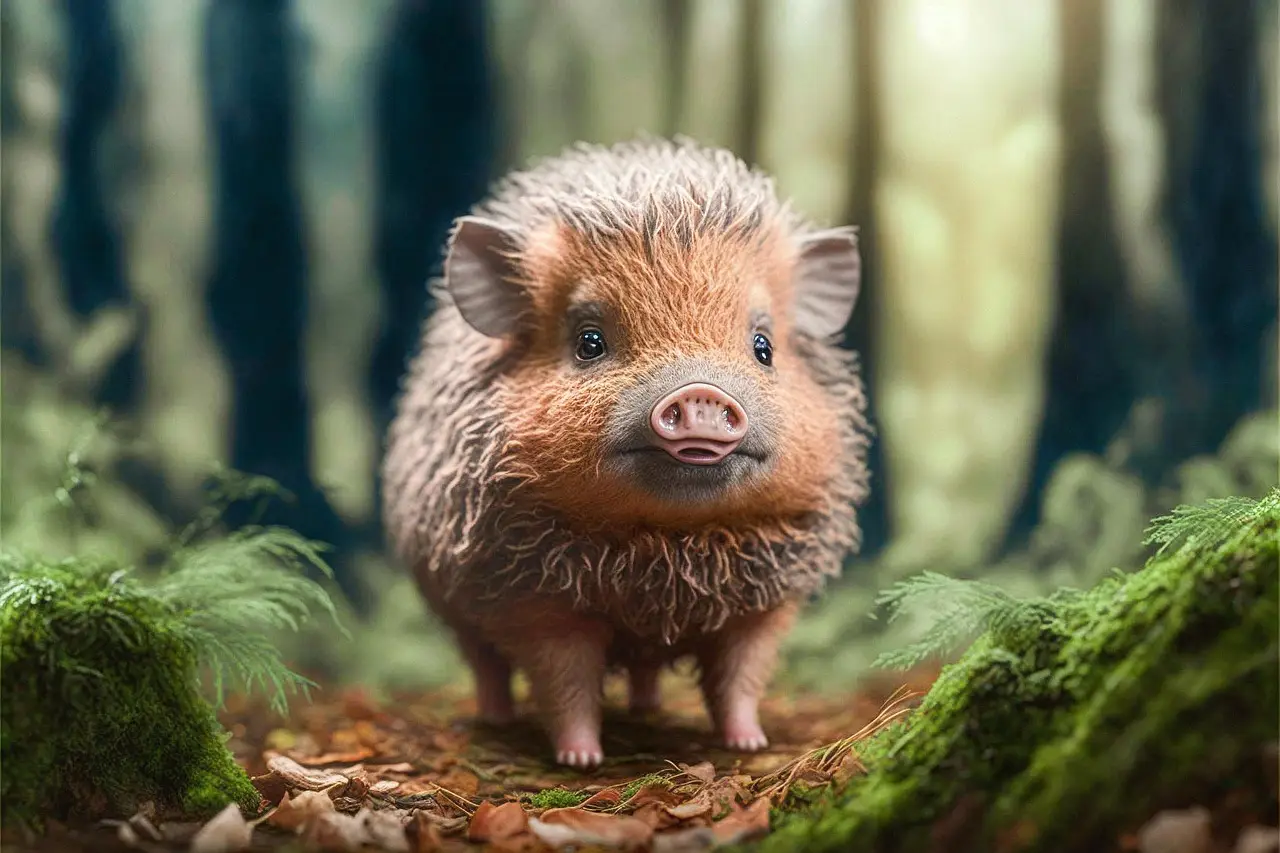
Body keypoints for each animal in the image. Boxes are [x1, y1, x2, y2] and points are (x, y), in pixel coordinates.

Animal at [382, 136, 870, 767]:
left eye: (763, 345)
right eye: (589, 341)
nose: (700, 393)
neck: (667, 562)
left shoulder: (766, 601)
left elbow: (741, 676)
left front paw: (748, 741)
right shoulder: (532, 599)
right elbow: (565, 681)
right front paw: (580, 759)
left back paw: (646, 710)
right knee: (485, 665)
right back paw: (496, 719)